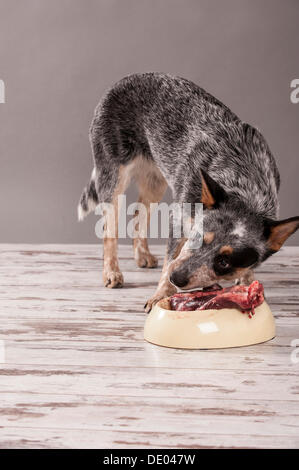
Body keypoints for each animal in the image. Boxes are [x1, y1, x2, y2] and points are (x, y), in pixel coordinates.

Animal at [78, 72, 299, 312]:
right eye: (197, 237)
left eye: (224, 262)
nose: (178, 278)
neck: (243, 185)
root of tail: (125, 79)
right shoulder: (179, 218)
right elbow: (170, 259)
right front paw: (160, 295)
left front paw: (248, 282)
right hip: (113, 175)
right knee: (109, 228)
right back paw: (111, 272)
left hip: (155, 182)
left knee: (139, 214)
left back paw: (142, 255)